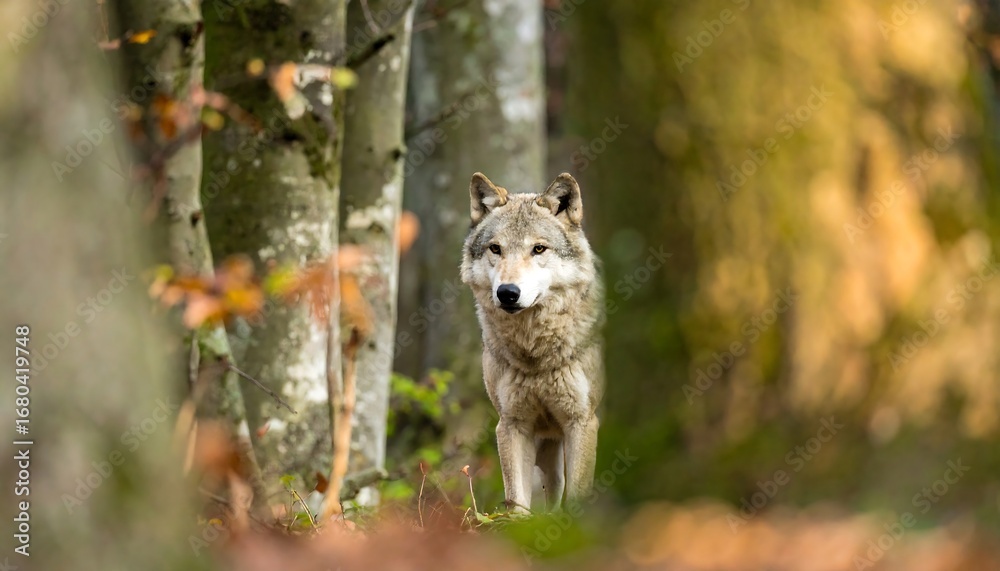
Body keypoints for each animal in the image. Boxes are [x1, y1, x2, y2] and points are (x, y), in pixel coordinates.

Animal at [460, 171, 604, 512]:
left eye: (538, 249)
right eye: (495, 249)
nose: (507, 293)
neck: (536, 355)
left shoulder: (582, 422)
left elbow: (577, 498)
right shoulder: (512, 424)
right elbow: (516, 501)